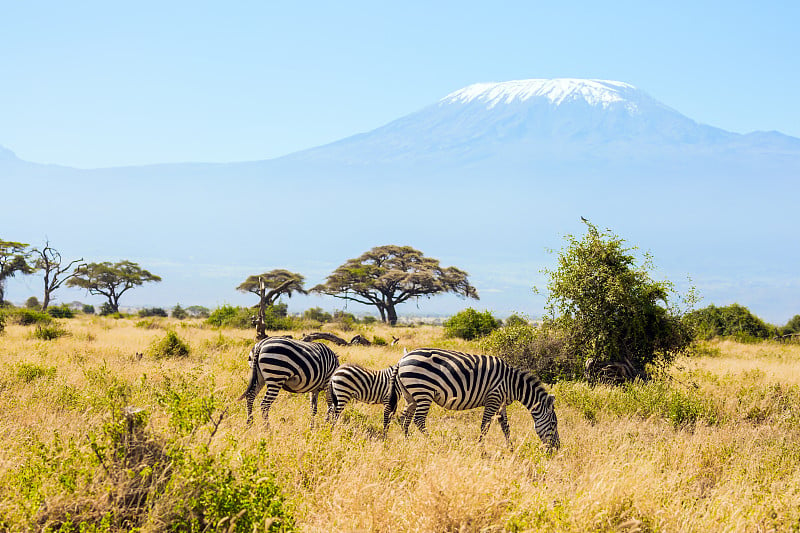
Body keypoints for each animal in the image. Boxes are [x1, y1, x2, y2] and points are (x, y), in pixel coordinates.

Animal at [396, 344, 560, 448]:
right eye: (553, 424)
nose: (557, 448)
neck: (512, 384)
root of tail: (403, 359)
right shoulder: (493, 398)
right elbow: (485, 426)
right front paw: (481, 450)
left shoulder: (501, 403)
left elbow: (505, 427)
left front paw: (511, 449)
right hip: (424, 392)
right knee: (418, 420)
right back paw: (434, 443)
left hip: (410, 395)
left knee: (404, 419)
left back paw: (407, 442)